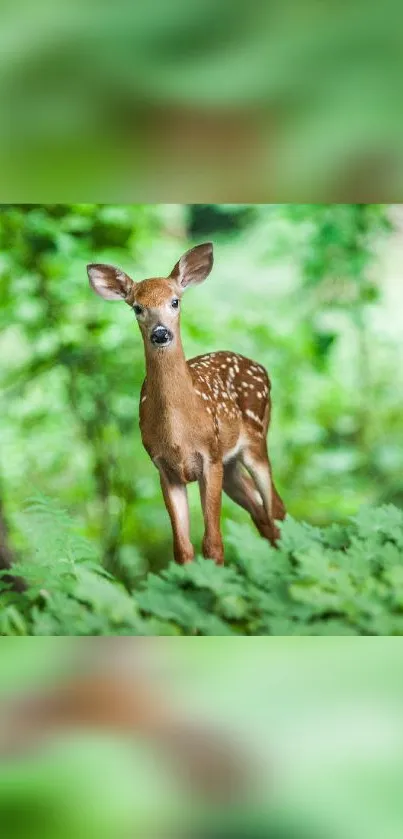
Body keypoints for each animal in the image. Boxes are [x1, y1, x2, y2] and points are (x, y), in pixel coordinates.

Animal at [87, 246, 288, 568]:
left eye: (175, 301)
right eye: (137, 308)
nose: (160, 333)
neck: (178, 433)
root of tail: (261, 368)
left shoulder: (210, 457)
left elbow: (213, 544)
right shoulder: (164, 468)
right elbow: (182, 549)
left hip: (255, 440)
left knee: (276, 509)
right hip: (230, 464)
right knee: (261, 513)